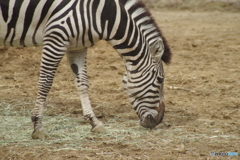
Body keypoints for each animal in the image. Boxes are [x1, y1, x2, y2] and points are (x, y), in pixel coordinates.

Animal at [0, 0, 172, 139]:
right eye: (160, 79)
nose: (158, 121)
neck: (101, 14)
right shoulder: (56, 39)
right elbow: (45, 83)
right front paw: (38, 127)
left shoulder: (77, 47)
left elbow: (82, 84)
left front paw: (94, 122)